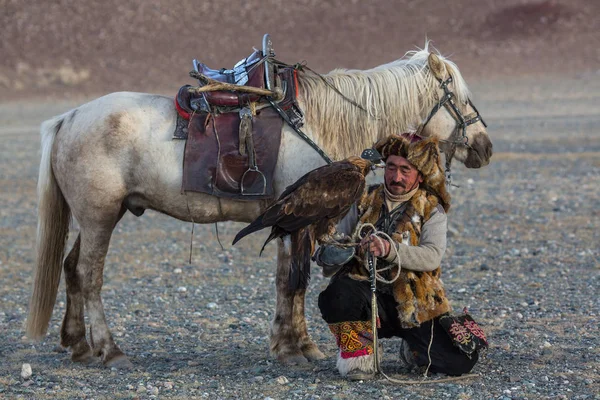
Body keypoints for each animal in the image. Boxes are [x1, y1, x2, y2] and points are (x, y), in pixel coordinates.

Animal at [25, 44, 492, 368]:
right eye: (459, 97)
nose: (484, 146)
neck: (319, 122)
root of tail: (69, 117)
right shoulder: (298, 221)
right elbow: (293, 282)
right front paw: (293, 350)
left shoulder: (292, 223)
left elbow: (291, 283)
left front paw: (295, 344)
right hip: (99, 216)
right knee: (89, 276)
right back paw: (109, 349)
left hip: (98, 216)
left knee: (71, 268)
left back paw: (78, 345)